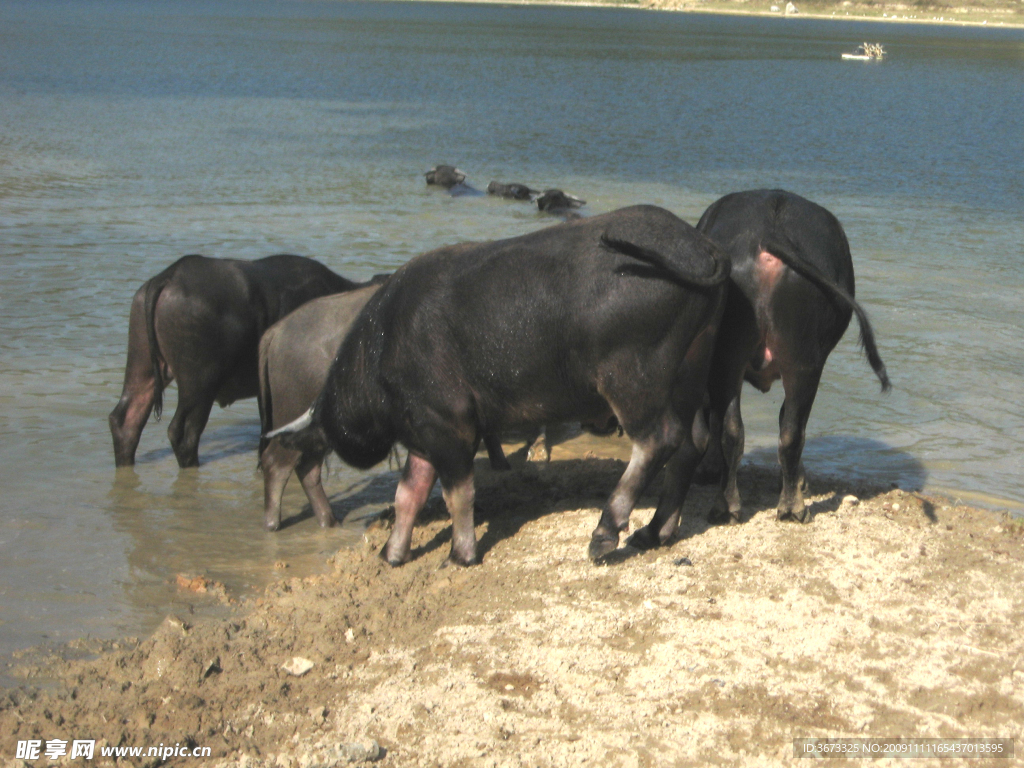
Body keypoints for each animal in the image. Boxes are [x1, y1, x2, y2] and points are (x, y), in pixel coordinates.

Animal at [268, 207, 733, 569]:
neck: (389, 340)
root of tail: (702, 248)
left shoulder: (450, 426)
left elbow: (458, 494)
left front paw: (461, 554)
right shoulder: (423, 432)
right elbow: (408, 494)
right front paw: (391, 553)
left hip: (631, 380)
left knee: (658, 440)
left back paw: (605, 533)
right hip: (690, 373)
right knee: (691, 442)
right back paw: (656, 531)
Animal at [696, 188, 888, 524]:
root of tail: (770, 237)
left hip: (736, 360)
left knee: (739, 432)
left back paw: (733, 507)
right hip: (801, 364)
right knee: (789, 432)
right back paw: (791, 507)